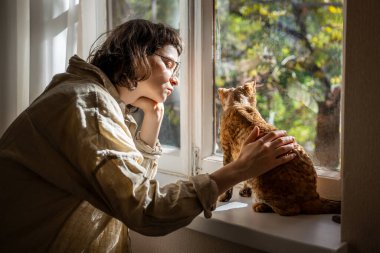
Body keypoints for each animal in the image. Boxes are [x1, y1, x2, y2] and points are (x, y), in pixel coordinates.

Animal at [218, 81, 340, 215]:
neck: (239, 104)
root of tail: (313, 197)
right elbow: (244, 176)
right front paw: (245, 192)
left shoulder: (227, 151)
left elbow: (229, 177)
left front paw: (225, 197)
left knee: (291, 210)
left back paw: (261, 206)